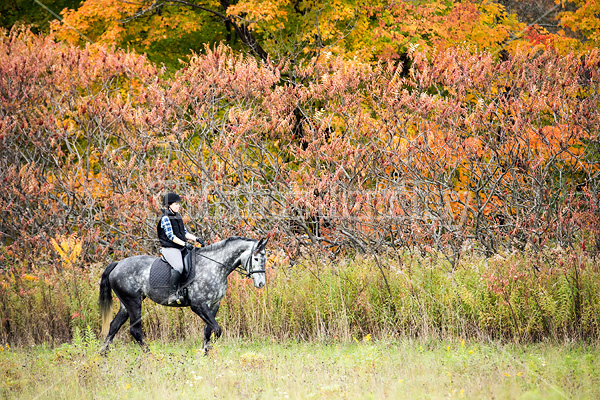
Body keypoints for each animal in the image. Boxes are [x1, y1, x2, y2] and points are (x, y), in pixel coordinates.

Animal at [98, 236, 268, 354]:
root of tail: (118, 264)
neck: (214, 266)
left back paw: (103, 355)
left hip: (126, 304)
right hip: (133, 302)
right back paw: (149, 355)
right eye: (256, 258)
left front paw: (205, 354)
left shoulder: (214, 305)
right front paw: (206, 351)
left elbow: (209, 331)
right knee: (135, 330)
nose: (261, 283)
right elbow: (217, 329)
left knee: (114, 326)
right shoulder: (198, 305)